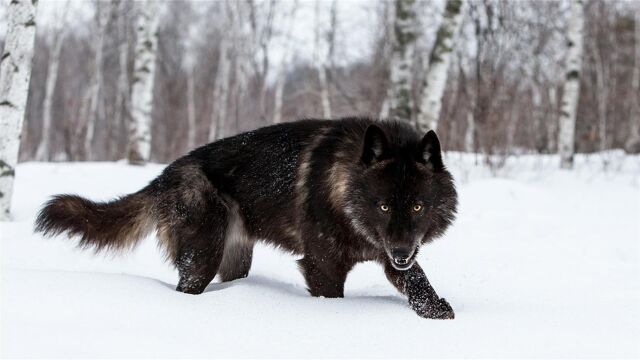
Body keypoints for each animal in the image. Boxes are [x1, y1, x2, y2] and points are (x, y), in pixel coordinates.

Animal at [35, 116, 458, 320]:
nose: (401, 251)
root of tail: (165, 175)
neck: (343, 186)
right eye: (383, 206)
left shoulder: (395, 255)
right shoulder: (322, 266)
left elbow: (418, 281)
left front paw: (436, 310)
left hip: (235, 260)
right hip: (202, 259)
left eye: (417, 207)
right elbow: (332, 298)